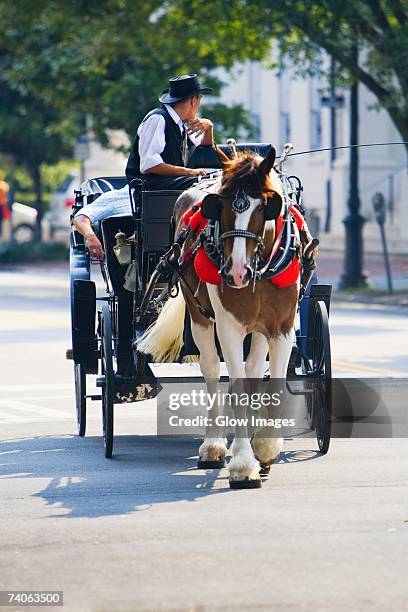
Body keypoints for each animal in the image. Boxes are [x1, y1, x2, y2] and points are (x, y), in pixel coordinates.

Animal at [139, 145, 302, 488]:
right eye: (221, 205)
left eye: (265, 207)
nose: (237, 272)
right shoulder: (228, 326)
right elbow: (235, 384)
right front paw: (242, 462)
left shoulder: (281, 327)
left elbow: (271, 379)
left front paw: (265, 446)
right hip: (200, 317)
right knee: (212, 369)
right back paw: (213, 445)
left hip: (259, 329)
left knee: (252, 368)